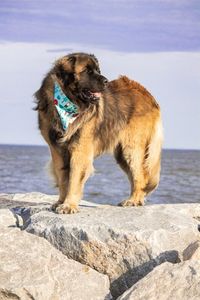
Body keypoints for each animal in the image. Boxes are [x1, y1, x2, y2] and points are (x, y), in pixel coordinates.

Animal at [34, 52, 162, 214]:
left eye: (98, 71)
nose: (106, 81)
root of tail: (146, 93)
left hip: (131, 148)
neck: (69, 102)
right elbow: (62, 178)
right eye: (87, 71)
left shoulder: (80, 150)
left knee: (140, 176)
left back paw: (133, 200)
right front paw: (60, 202)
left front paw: (69, 205)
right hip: (121, 154)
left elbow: (74, 179)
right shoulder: (57, 150)